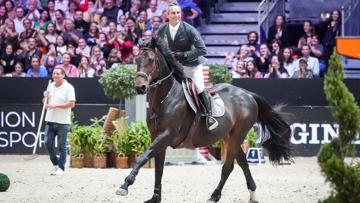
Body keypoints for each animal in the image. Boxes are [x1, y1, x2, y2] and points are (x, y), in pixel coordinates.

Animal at [116, 38, 292, 202]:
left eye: (151, 60)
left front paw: (125, 185)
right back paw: (252, 194)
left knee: (228, 167)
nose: (140, 87)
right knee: (243, 162)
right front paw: (155, 197)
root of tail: (248, 94)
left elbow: (143, 157)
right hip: (229, 137)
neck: (165, 98)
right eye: (136, 60)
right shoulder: (156, 137)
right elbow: (158, 169)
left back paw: (214, 196)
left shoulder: (166, 135)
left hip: (238, 135)